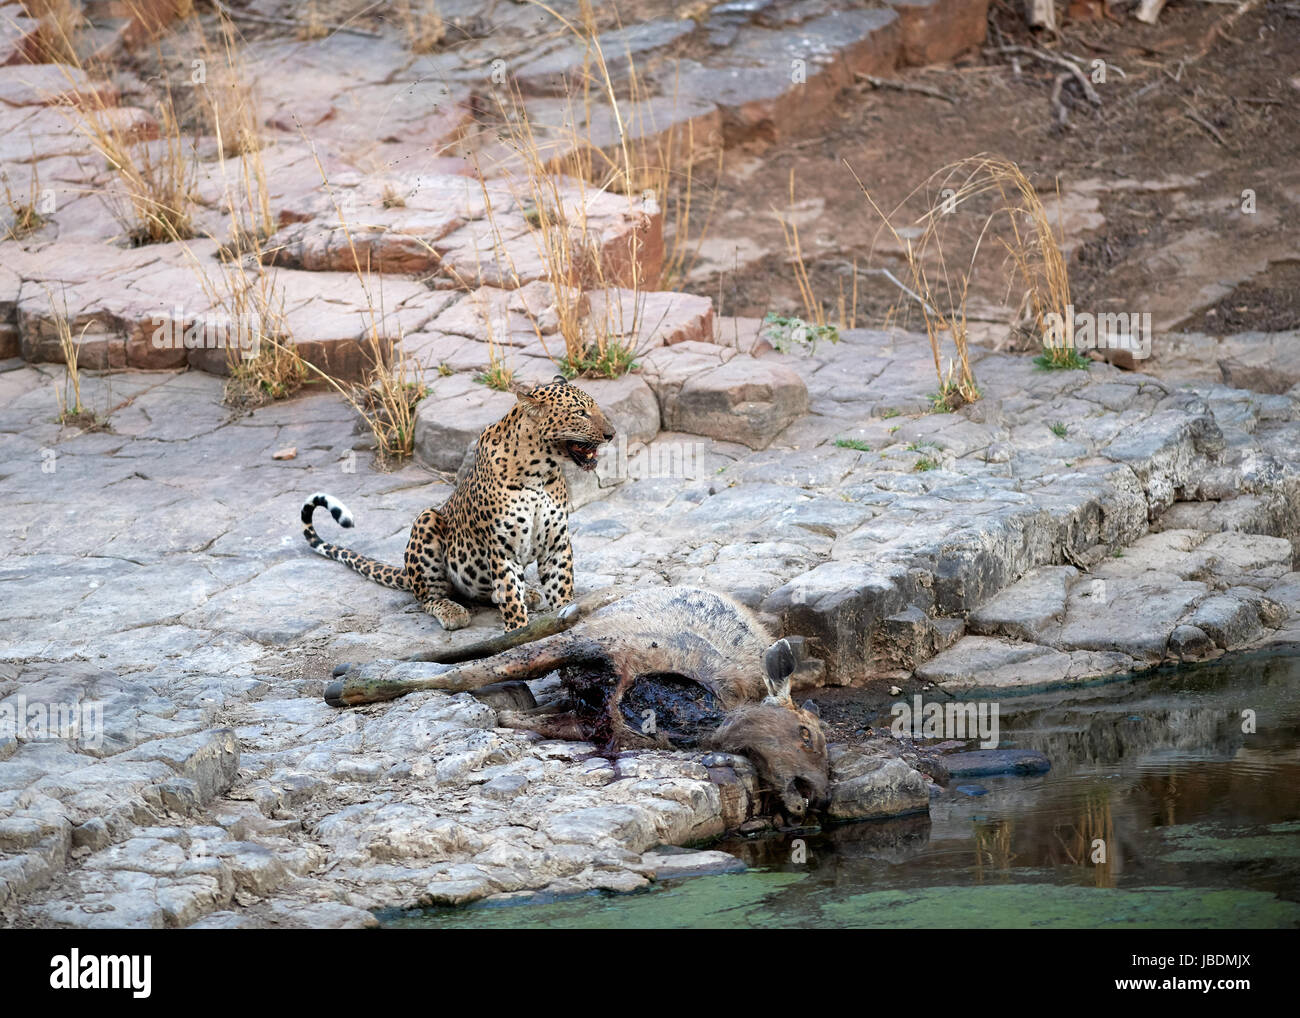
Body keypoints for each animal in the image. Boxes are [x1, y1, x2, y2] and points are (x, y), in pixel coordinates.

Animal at [301, 374, 616, 629]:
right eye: (580, 413)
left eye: (595, 408)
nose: (611, 434)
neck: (540, 471)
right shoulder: (502, 548)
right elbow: (511, 599)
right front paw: (518, 632)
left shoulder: (556, 543)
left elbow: (561, 586)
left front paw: (565, 615)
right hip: (426, 522)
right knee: (429, 596)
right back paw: (453, 612)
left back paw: (531, 593)